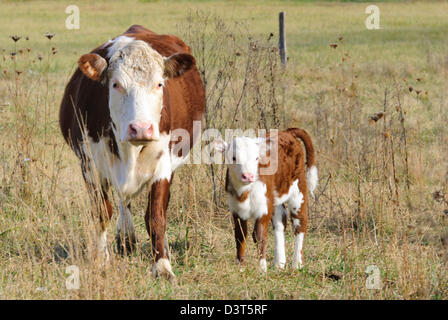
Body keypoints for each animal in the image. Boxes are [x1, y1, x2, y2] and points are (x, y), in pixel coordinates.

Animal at [58, 25, 206, 278]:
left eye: (159, 84)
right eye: (116, 84)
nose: (141, 128)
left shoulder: (163, 166)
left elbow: (156, 216)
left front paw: (162, 265)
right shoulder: (90, 164)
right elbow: (101, 212)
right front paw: (101, 260)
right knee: (123, 201)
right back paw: (126, 239)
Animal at [214, 127, 316, 270]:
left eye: (257, 158)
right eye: (233, 157)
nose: (248, 176)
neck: (245, 193)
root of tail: (287, 132)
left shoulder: (264, 207)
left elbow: (260, 235)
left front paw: (262, 267)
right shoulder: (236, 209)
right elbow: (240, 235)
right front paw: (241, 265)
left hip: (298, 188)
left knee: (300, 223)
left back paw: (297, 263)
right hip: (275, 197)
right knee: (280, 222)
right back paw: (280, 263)